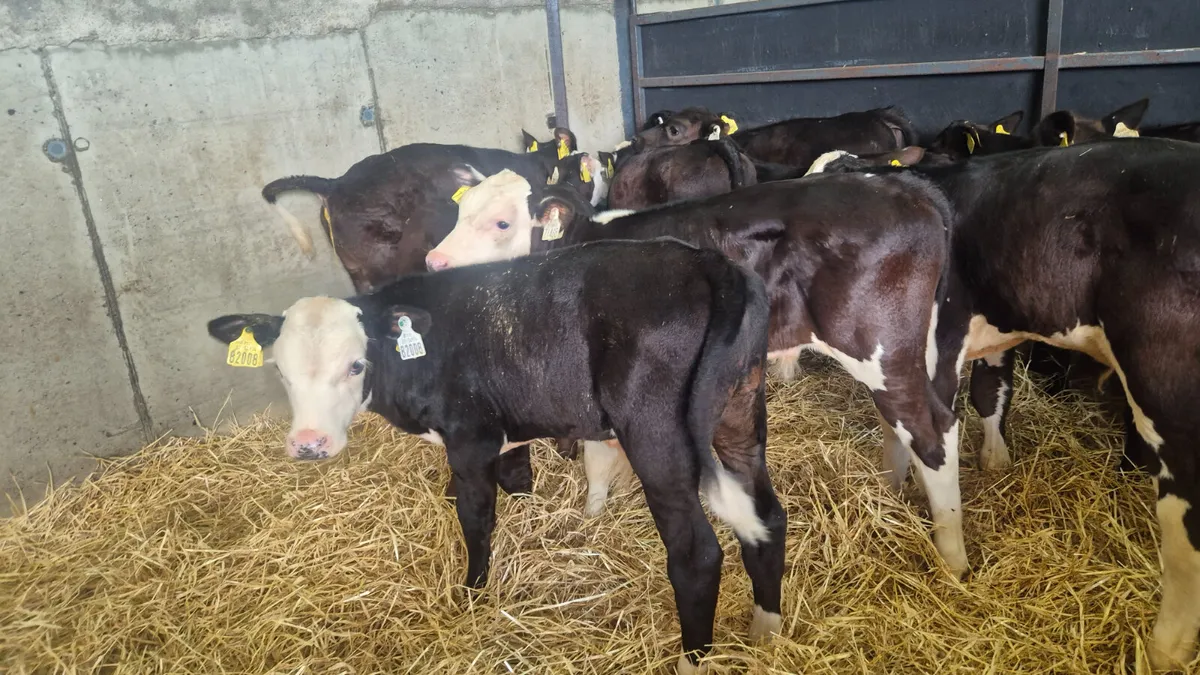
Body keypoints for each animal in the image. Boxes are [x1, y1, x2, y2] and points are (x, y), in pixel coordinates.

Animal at [206, 239, 786, 674]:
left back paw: (692, 659)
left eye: (355, 365)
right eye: (280, 370)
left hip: (655, 433)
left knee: (696, 553)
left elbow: (475, 516)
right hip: (740, 414)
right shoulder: (508, 431)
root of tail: (707, 261)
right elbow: (517, 482)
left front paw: (472, 593)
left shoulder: (470, 438)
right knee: (767, 517)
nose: (309, 443)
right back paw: (766, 630)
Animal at [426, 167, 966, 577]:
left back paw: (952, 557)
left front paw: (592, 513)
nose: (435, 261)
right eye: (458, 211)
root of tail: (905, 187)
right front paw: (602, 509)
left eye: (501, 223)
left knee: (934, 431)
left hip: (878, 346)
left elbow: (595, 458)